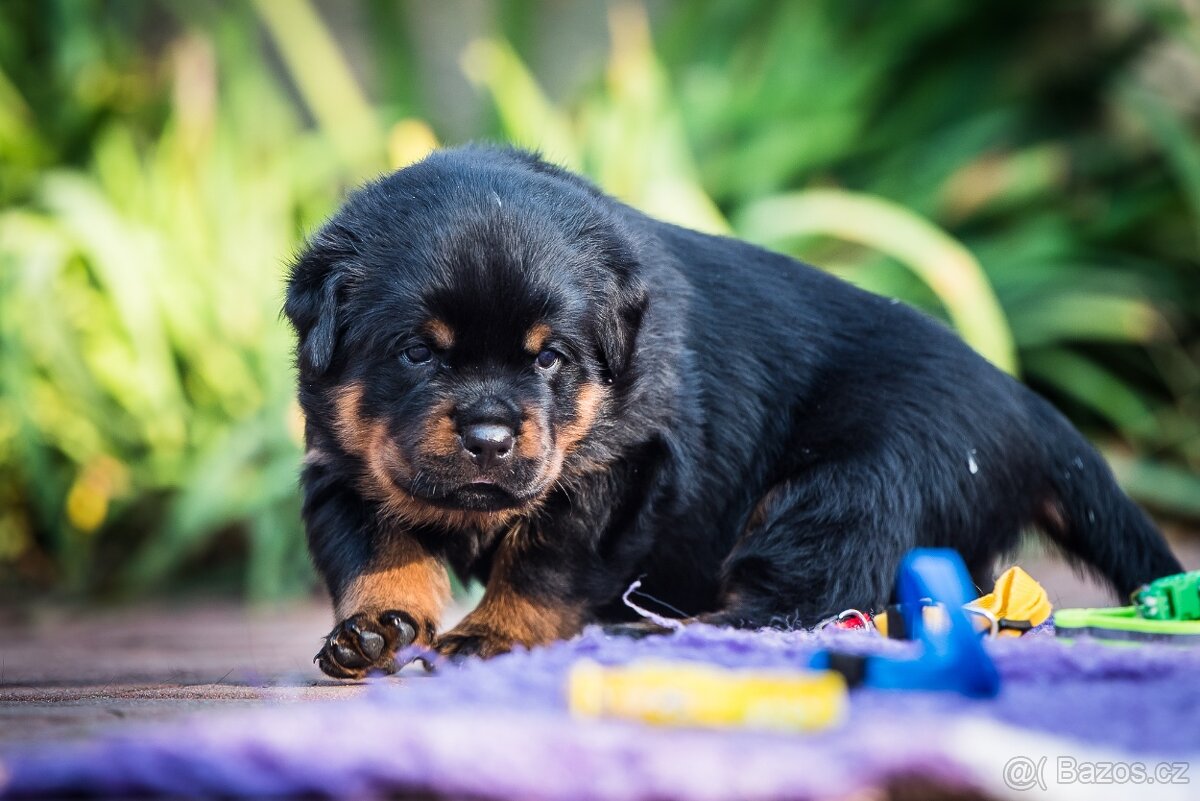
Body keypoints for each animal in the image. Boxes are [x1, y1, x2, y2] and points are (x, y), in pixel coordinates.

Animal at [288, 143, 1180, 676]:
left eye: (549, 357)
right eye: (417, 352)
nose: (489, 435)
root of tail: (1027, 406)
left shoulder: (616, 468)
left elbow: (544, 559)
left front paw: (495, 632)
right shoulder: (342, 463)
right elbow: (378, 549)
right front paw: (377, 628)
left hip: (850, 487)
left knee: (803, 601)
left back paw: (655, 629)